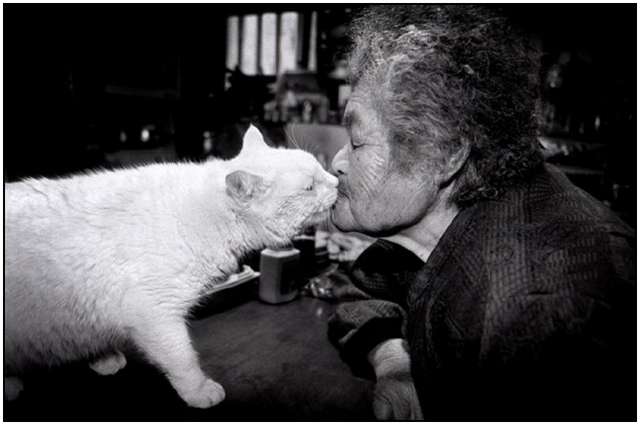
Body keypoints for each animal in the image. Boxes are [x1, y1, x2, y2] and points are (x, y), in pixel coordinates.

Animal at [5, 126, 340, 408]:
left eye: (319, 168)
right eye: (310, 187)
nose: (338, 180)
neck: (208, 214)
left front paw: (103, 358)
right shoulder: (155, 312)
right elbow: (182, 358)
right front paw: (199, 390)